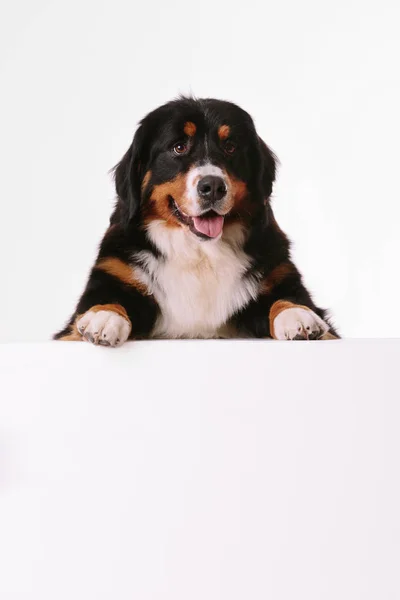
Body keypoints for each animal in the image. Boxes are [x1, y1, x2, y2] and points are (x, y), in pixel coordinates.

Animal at [54, 96, 340, 344]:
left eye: (230, 146)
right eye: (179, 147)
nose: (212, 187)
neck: (200, 253)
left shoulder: (277, 271)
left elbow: (289, 298)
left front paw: (298, 315)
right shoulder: (114, 270)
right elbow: (105, 300)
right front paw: (103, 316)